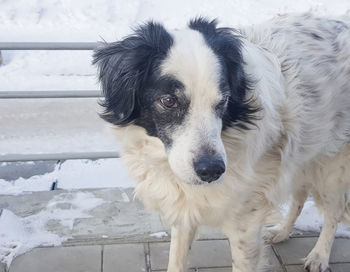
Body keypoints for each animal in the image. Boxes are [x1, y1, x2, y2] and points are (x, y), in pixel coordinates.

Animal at [93, 13, 350, 272]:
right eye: (168, 101)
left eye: (224, 100)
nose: (211, 170)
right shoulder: (185, 206)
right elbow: (176, 258)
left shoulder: (246, 224)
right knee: (299, 197)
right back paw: (282, 232)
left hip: (332, 170)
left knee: (333, 213)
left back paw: (319, 255)